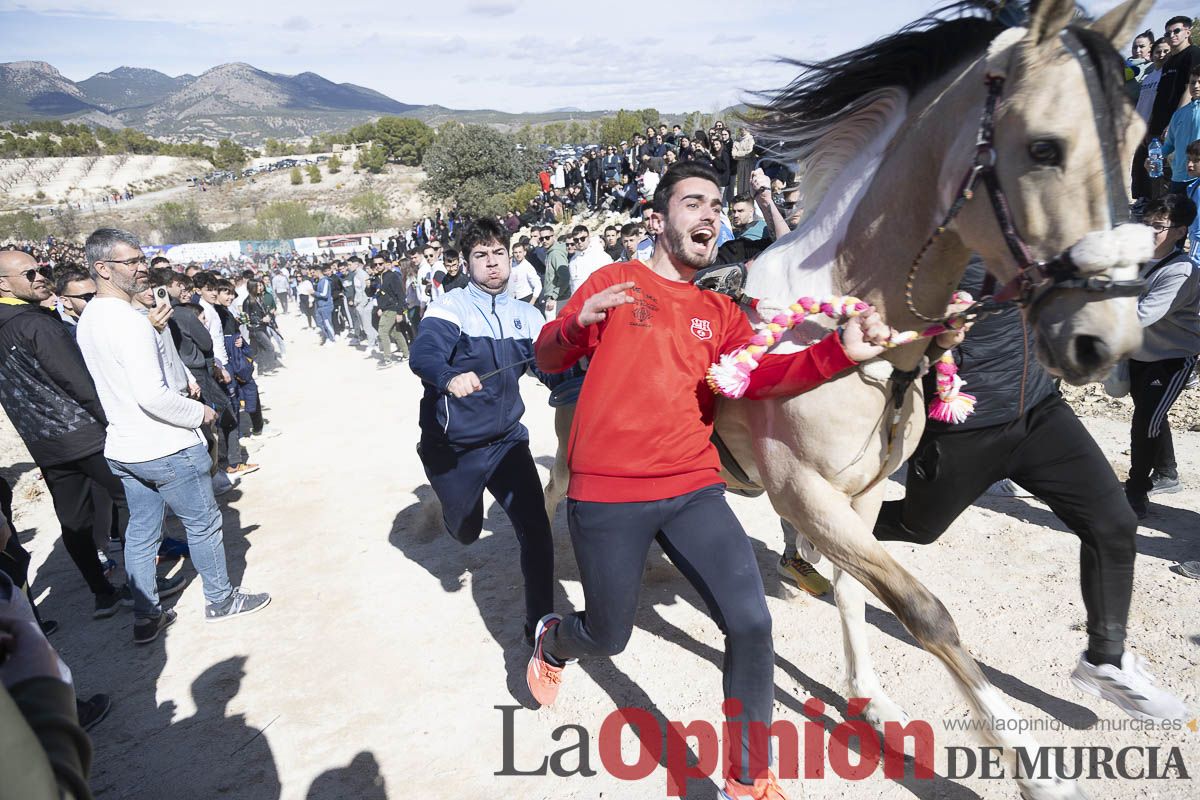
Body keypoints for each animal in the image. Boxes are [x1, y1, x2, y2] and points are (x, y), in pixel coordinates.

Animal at [549, 3, 1156, 796]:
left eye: (1139, 142)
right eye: (1044, 147)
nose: (1107, 337)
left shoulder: (858, 494)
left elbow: (853, 590)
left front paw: (869, 699)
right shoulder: (805, 488)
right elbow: (925, 611)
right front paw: (1029, 765)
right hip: (574, 449)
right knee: (553, 502)